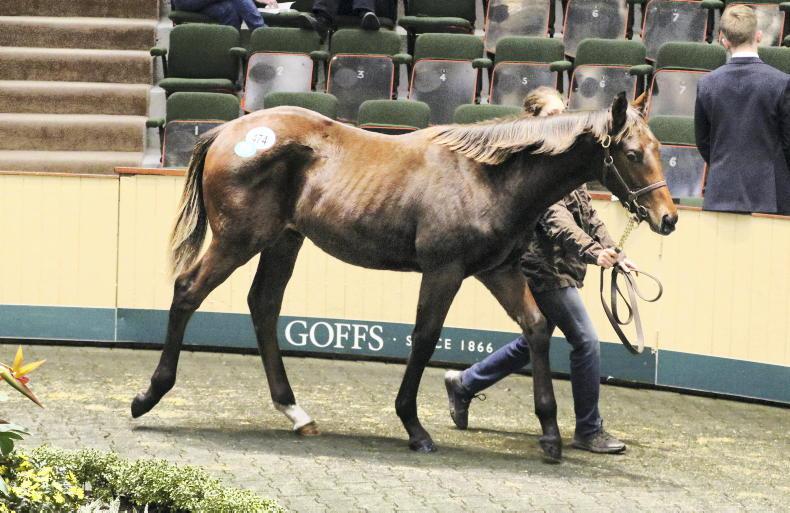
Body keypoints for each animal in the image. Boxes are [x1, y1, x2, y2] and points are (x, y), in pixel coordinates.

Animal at [130, 92, 677, 462]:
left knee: (263, 306)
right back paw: (147, 397)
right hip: (238, 241)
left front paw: (550, 435)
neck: (487, 175)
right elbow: (425, 337)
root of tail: (227, 132)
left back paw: (296, 413)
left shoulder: (497, 272)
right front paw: (415, 428)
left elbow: (538, 329)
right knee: (188, 291)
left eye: (658, 147)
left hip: (283, 241)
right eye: (631, 153)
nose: (668, 218)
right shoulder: (444, 271)